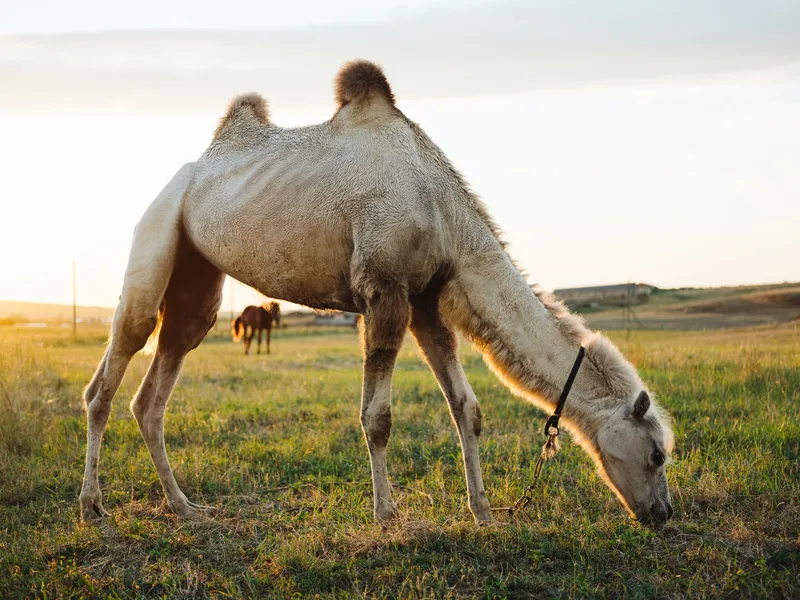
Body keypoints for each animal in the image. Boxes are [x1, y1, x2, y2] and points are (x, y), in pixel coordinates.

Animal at [80, 60, 674, 526]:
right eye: (657, 454)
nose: (663, 514)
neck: (444, 213)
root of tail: (189, 171)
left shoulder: (427, 302)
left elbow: (467, 407)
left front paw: (482, 511)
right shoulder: (384, 291)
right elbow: (378, 418)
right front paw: (387, 514)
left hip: (198, 281)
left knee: (156, 386)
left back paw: (183, 506)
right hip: (156, 231)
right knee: (110, 374)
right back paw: (92, 505)